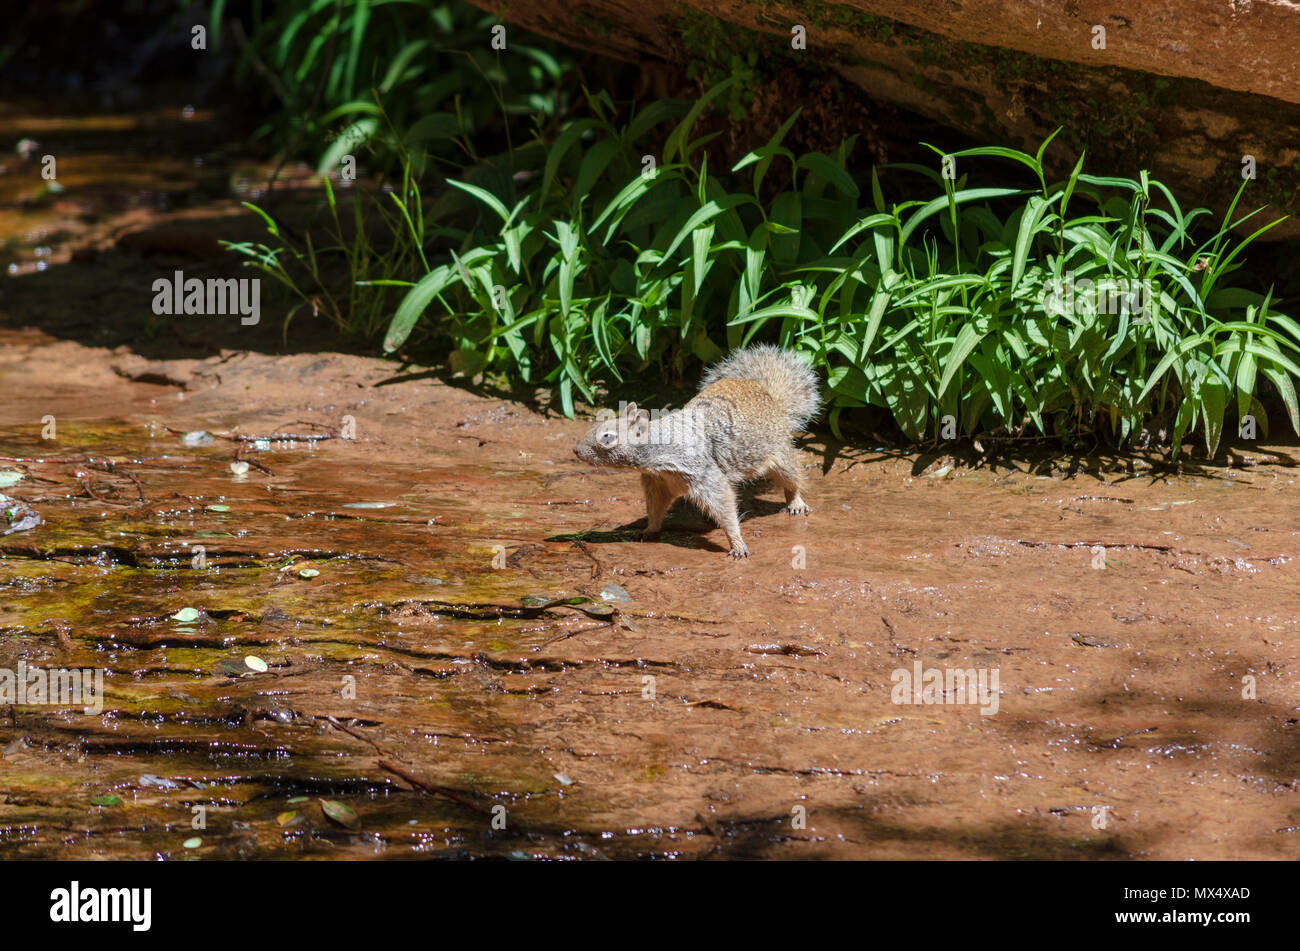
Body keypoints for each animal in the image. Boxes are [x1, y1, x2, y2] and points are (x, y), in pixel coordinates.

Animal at [572, 345, 820, 558]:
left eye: (607, 437)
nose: (575, 449)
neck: (658, 453)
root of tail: (768, 395)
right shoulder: (657, 483)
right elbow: (656, 508)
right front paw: (648, 530)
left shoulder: (703, 473)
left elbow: (724, 503)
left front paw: (737, 543)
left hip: (778, 452)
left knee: (791, 477)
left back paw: (796, 503)